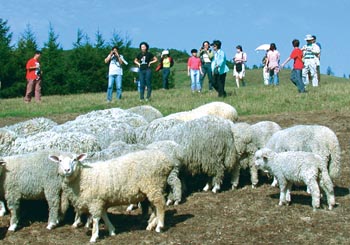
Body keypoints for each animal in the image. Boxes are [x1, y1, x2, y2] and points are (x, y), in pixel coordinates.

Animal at [49, 147, 180, 243]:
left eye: (75, 159)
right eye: (60, 161)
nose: (67, 170)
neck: (82, 176)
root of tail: (167, 159)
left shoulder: (95, 201)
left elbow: (96, 219)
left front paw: (94, 237)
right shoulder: (101, 200)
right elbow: (104, 215)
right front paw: (112, 230)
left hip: (153, 184)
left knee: (160, 204)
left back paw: (159, 226)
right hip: (152, 188)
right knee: (155, 207)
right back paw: (151, 225)